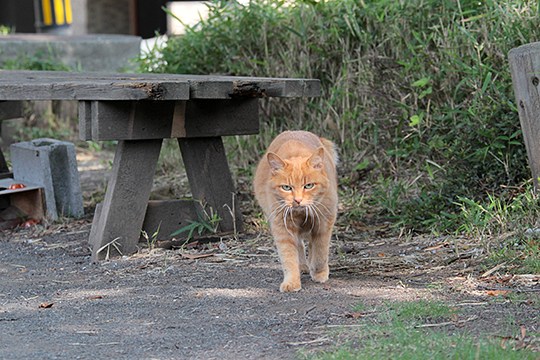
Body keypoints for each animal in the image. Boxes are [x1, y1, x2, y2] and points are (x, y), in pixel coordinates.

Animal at [254, 131, 338, 292]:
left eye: (309, 186)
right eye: (286, 187)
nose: (297, 200)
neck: (302, 213)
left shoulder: (324, 222)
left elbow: (320, 251)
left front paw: (319, 272)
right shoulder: (282, 228)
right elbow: (289, 258)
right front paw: (292, 282)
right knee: (300, 246)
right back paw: (303, 266)